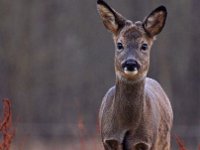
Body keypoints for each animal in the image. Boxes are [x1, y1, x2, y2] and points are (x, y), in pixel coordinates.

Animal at [97, 0, 173, 149]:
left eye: (144, 45)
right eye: (119, 44)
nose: (131, 63)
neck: (127, 125)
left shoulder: (146, 142)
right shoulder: (108, 140)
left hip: (165, 141)